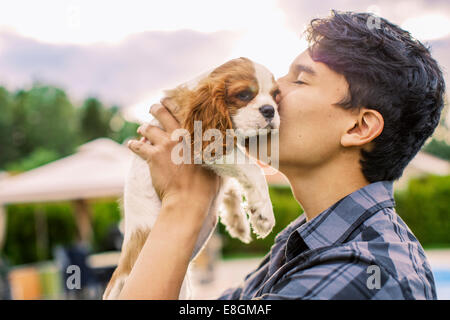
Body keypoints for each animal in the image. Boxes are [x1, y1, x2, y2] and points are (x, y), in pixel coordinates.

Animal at [103, 57, 280, 300]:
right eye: (244, 94)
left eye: (275, 95)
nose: (270, 110)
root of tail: (118, 278)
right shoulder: (205, 147)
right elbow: (252, 168)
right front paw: (263, 214)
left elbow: (232, 186)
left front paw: (237, 222)